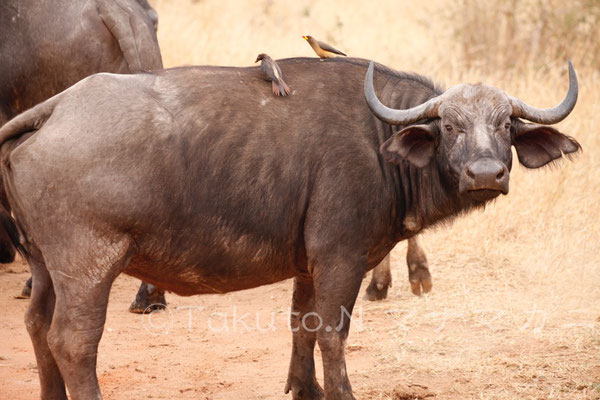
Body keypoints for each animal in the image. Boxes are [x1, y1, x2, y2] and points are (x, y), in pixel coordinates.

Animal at [0, 57, 580, 400]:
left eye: (505, 125)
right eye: (451, 126)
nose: (485, 173)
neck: (378, 141)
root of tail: (57, 108)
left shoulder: (307, 264)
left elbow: (302, 326)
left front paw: (306, 390)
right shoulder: (341, 258)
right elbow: (332, 333)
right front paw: (340, 393)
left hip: (45, 269)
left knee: (36, 326)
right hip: (89, 267)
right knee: (73, 340)